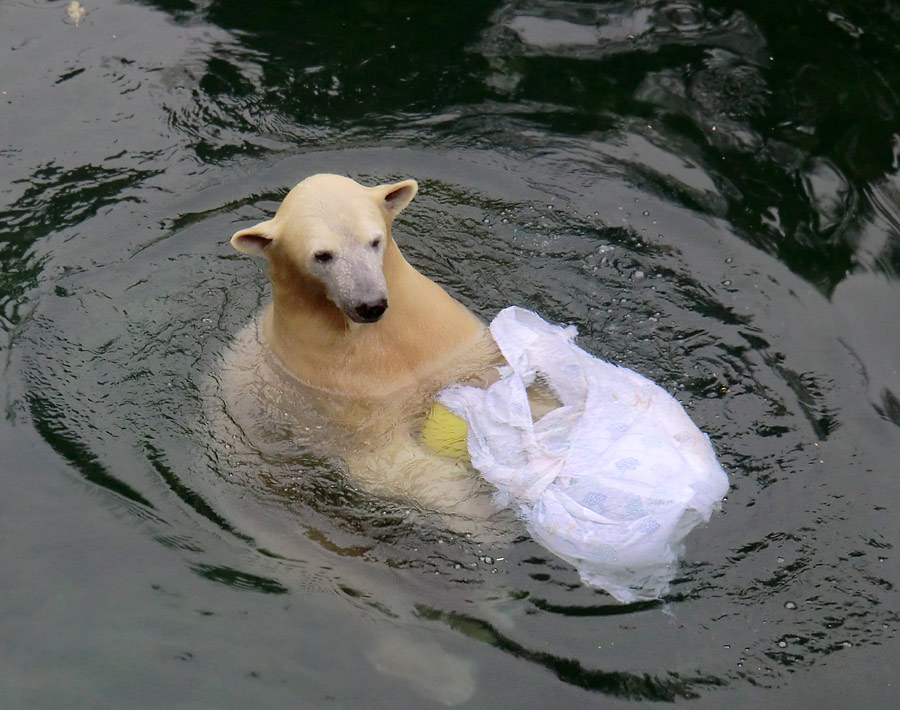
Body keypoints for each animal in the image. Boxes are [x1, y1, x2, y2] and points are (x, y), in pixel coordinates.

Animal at [217, 172, 500, 516]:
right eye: (322, 255)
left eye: (374, 241)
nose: (371, 305)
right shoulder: (341, 392)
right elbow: (387, 463)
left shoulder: (444, 341)